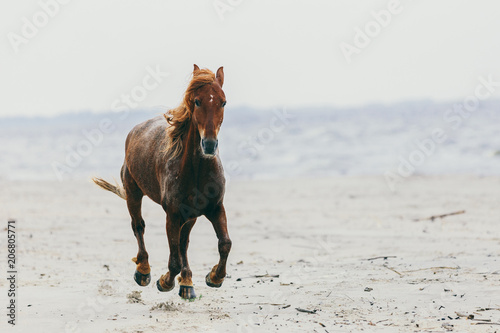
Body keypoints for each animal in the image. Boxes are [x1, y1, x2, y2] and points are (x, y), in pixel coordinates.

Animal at [93, 64, 231, 298]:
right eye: (197, 101)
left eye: (223, 101)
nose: (209, 144)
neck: (197, 171)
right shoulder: (173, 214)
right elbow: (173, 260)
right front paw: (165, 281)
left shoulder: (215, 208)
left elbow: (224, 244)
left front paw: (214, 277)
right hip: (133, 193)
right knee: (138, 226)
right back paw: (143, 270)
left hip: (190, 215)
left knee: (183, 243)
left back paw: (187, 283)